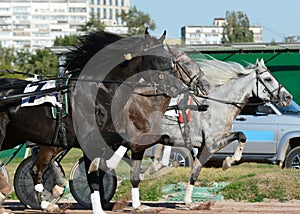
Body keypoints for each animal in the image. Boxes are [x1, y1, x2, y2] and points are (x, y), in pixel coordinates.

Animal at [149, 47, 292, 209]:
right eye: (268, 79)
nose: (288, 97)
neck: (217, 105)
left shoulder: (206, 147)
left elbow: (195, 172)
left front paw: (188, 201)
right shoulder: (213, 142)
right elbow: (241, 135)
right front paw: (228, 162)